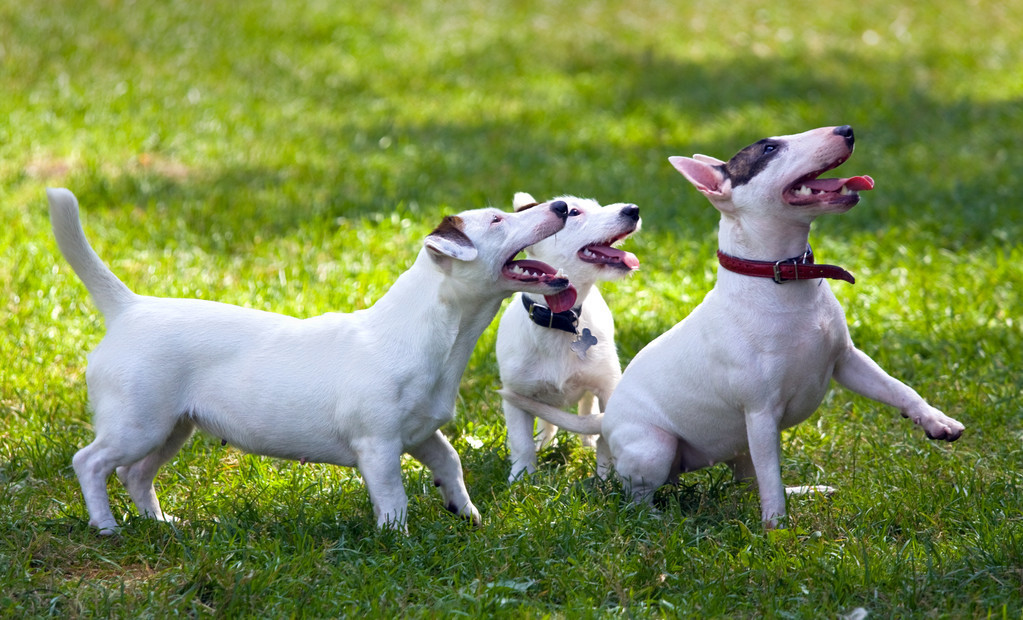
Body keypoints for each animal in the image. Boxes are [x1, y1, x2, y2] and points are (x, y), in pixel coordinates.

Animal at [48, 189, 572, 536]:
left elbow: (451, 462)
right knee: (90, 462)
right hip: (138, 424)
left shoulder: (422, 433)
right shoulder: (378, 446)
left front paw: (466, 513)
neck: (432, 334)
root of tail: (128, 308)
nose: (562, 207)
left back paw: (161, 523)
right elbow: (394, 497)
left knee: (135, 475)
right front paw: (397, 540)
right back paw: (106, 526)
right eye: (498, 220)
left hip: (173, 427)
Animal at [495, 192, 638, 482]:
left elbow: (605, 435)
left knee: (586, 408)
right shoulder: (515, 395)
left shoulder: (608, 388)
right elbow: (521, 442)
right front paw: (521, 478)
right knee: (547, 422)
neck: (559, 321)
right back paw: (544, 442)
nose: (634, 210)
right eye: (574, 212)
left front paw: (605, 478)